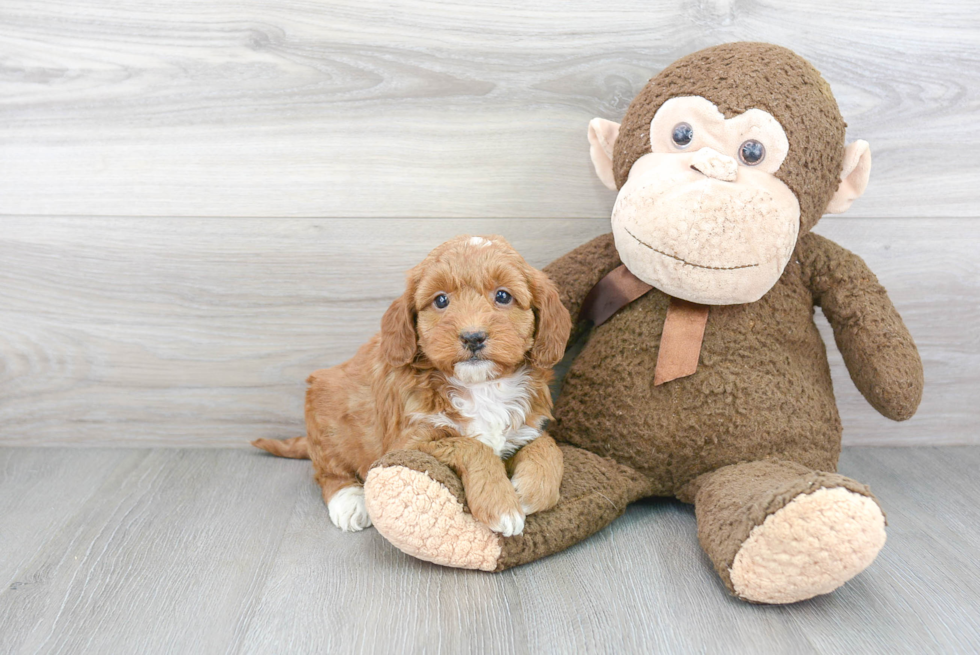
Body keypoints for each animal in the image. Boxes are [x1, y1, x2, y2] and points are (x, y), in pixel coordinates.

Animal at [255, 237, 576, 540]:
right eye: (441, 300)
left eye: (503, 296)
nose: (473, 337)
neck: (481, 386)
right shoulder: (408, 441)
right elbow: (471, 445)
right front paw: (501, 506)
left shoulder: (527, 425)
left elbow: (548, 445)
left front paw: (533, 490)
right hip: (326, 417)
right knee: (328, 472)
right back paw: (348, 502)